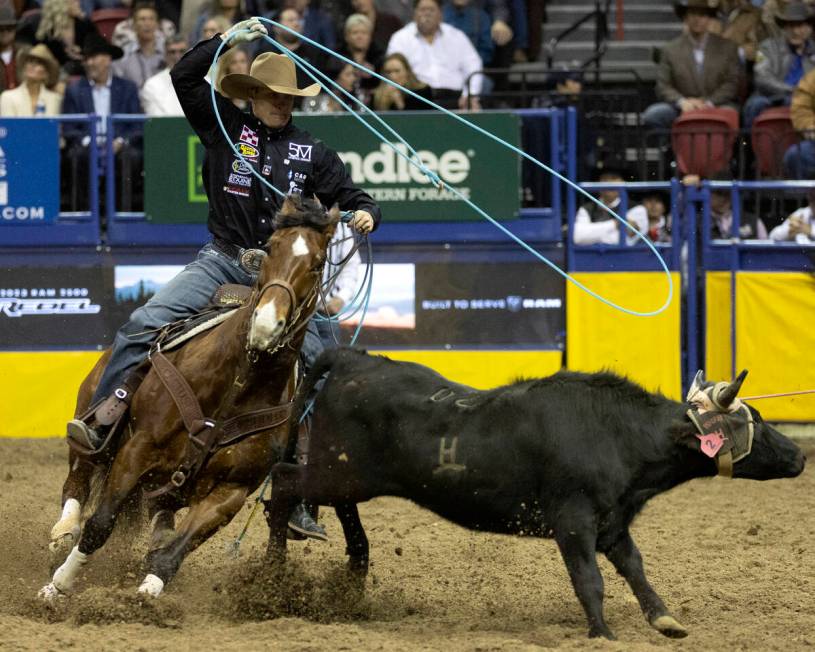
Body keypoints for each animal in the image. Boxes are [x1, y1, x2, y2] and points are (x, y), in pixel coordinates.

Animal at [37, 195, 338, 600]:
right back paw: (63, 530)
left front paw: (147, 593)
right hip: (92, 427)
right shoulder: (137, 450)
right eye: (273, 247)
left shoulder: (232, 490)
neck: (236, 385)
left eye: (318, 263)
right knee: (78, 479)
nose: (265, 323)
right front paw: (58, 586)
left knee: (160, 516)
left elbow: (173, 554)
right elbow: (100, 524)